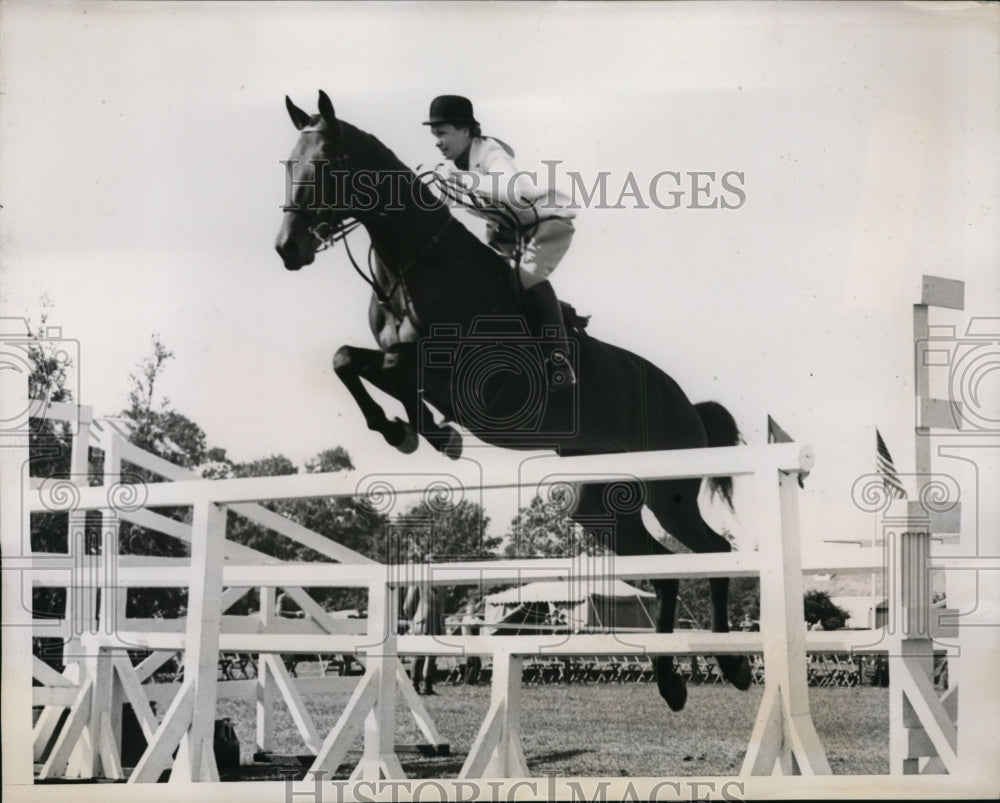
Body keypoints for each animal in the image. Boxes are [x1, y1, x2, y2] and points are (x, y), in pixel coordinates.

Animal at [274, 91, 752, 712]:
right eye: (289, 163)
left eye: (328, 163)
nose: (288, 248)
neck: (416, 266)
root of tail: (689, 405)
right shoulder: (409, 364)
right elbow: (349, 361)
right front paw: (415, 432)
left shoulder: (468, 377)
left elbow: (389, 367)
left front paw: (424, 431)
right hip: (601, 502)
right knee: (663, 563)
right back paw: (671, 679)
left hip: (669, 493)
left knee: (712, 549)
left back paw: (732, 664)